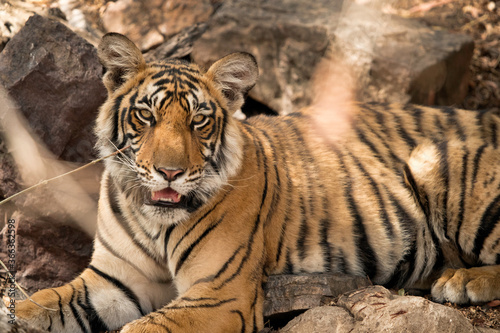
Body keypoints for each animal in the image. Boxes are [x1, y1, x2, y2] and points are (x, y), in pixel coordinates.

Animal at [14, 31, 500, 332]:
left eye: (198, 121)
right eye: (146, 116)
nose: (169, 172)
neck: (154, 220)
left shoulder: (220, 293)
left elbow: (144, 327)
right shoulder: (114, 280)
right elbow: (40, 303)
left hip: (433, 162)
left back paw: (461, 282)